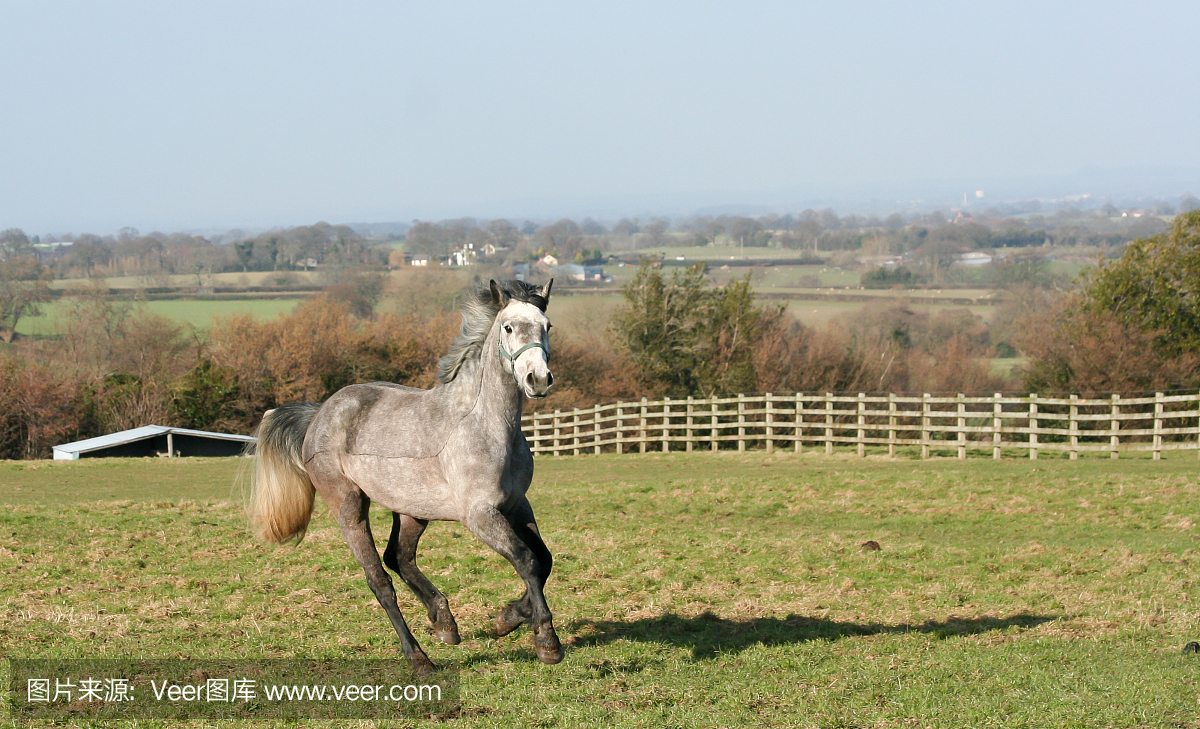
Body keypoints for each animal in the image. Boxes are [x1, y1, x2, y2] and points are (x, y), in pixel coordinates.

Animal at [247, 278, 561, 671]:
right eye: (507, 327)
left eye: (547, 326)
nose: (538, 380)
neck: (487, 425)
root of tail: (320, 413)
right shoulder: (479, 515)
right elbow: (526, 560)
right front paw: (547, 641)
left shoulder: (518, 505)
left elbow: (544, 561)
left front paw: (507, 618)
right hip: (349, 506)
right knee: (379, 578)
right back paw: (418, 656)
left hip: (413, 510)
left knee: (398, 557)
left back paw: (444, 622)